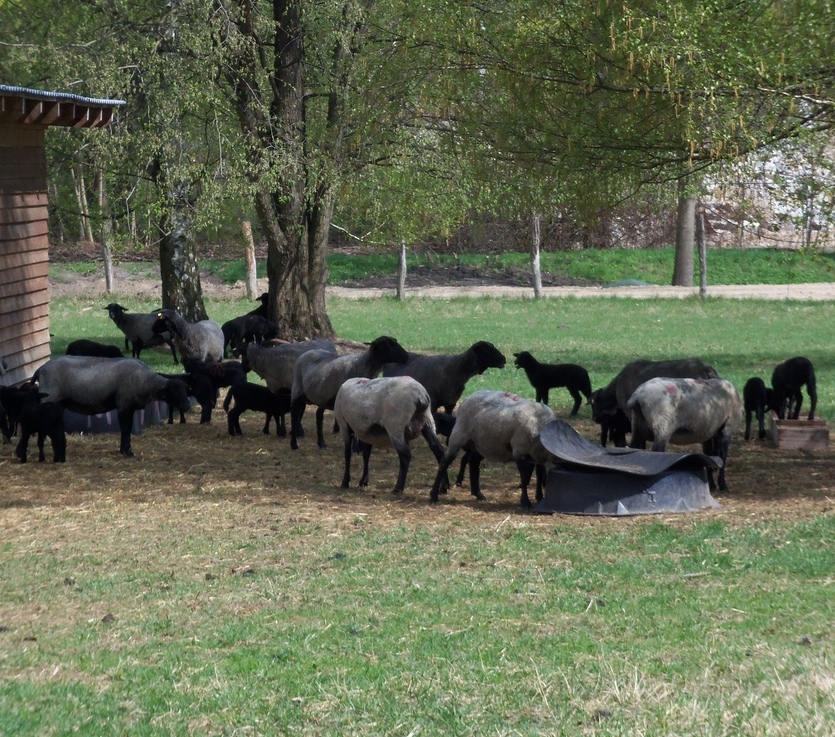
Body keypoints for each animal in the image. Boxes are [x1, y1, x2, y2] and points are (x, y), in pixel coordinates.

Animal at [34, 356, 191, 458]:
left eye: (185, 390)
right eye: (173, 392)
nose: (187, 406)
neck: (144, 380)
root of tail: (40, 369)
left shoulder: (130, 407)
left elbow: (127, 429)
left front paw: (125, 450)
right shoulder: (123, 406)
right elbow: (125, 429)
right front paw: (126, 452)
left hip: (58, 405)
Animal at [428, 392, 560, 506]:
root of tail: (469, 397)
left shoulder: (537, 456)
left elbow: (539, 474)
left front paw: (539, 497)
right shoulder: (519, 452)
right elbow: (524, 477)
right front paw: (525, 502)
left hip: (478, 444)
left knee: (473, 463)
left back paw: (478, 494)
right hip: (458, 436)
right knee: (444, 462)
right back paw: (434, 495)